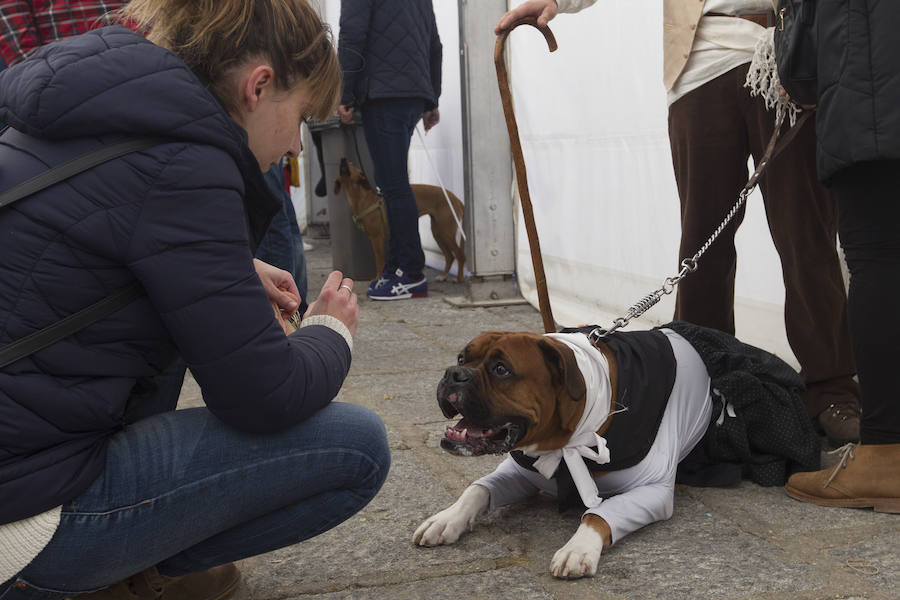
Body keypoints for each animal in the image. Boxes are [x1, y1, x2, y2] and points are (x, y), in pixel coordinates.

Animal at [334, 158, 468, 282]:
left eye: (351, 164)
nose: (343, 159)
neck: (363, 198)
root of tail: (456, 199)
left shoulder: (377, 238)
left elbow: (380, 261)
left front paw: (378, 278)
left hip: (446, 232)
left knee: (460, 255)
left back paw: (459, 278)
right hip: (438, 232)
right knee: (450, 256)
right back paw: (443, 276)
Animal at [412, 326, 812, 580]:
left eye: (501, 369)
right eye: (461, 357)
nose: (453, 374)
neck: (568, 438)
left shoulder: (652, 493)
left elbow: (600, 514)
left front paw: (578, 548)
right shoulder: (522, 469)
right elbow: (478, 489)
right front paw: (446, 519)